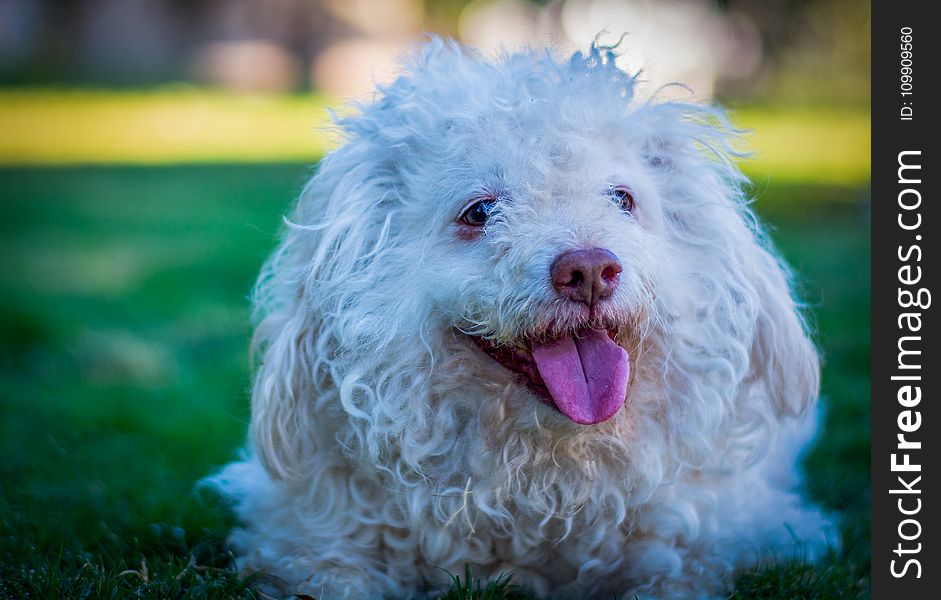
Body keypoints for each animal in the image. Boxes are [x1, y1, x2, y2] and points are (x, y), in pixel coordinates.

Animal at [209, 39, 832, 596]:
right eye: (480, 211)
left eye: (623, 199)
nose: (589, 270)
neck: (540, 493)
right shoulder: (305, 541)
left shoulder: (720, 537)